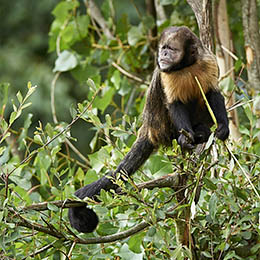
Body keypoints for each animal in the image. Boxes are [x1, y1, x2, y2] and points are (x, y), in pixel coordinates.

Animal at [68, 26, 229, 233]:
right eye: (163, 49)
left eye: (171, 49)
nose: (163, 54)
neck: (185, 67)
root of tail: (148, 130)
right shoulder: (166, 73)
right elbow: (175, 104)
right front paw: (186, 138)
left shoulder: (208, 61)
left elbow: (213, 93)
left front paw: (223, 128)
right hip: (162, 129)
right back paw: (189, 136)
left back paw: (201, 132)